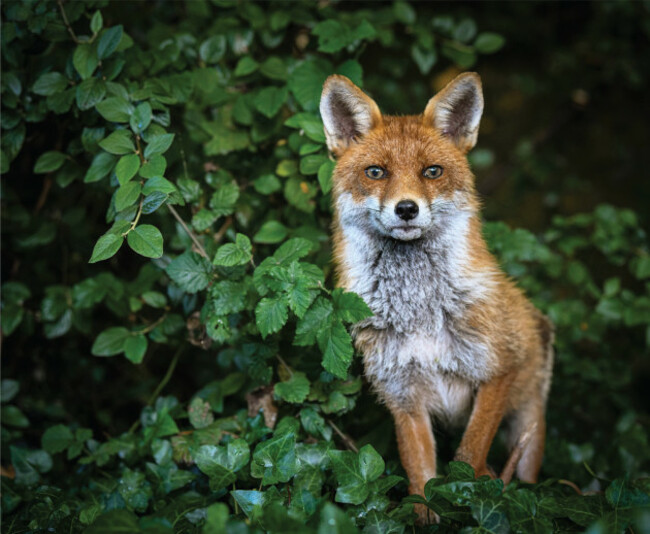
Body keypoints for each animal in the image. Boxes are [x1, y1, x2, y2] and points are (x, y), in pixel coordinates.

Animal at [319, 72, 554, 523]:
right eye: (376, 172)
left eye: (432, 171)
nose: (406, 208)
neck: (420, 310)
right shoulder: (403, 396)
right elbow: (421, 482)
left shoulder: (498, 370)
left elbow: (469, 457)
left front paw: (472, 498)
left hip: (528, 426)